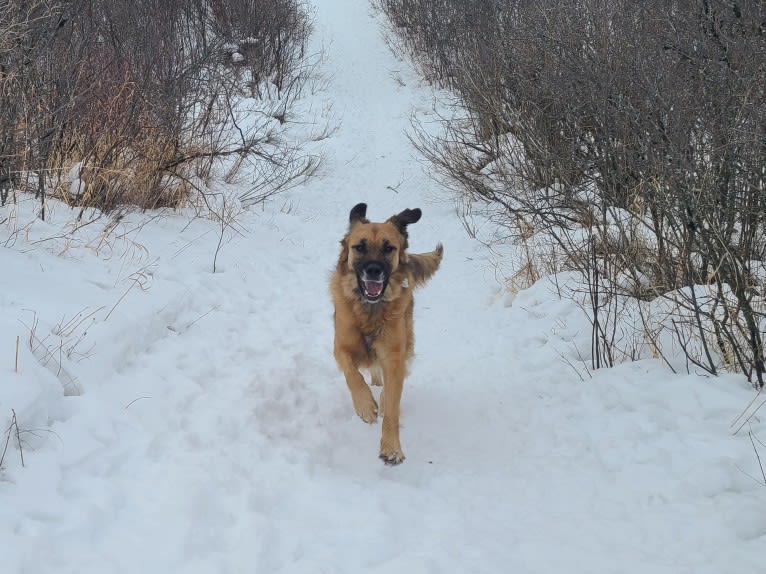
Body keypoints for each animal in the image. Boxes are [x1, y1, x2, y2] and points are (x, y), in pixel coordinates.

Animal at [330, 205, 444, 466]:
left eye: (389, 248)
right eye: (359, 247)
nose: (373, 270)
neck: (370, 312)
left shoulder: (393, 357)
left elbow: (392, 407)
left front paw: (391, 448)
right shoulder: (340, 347)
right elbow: (353, 375)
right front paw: (365, 406)